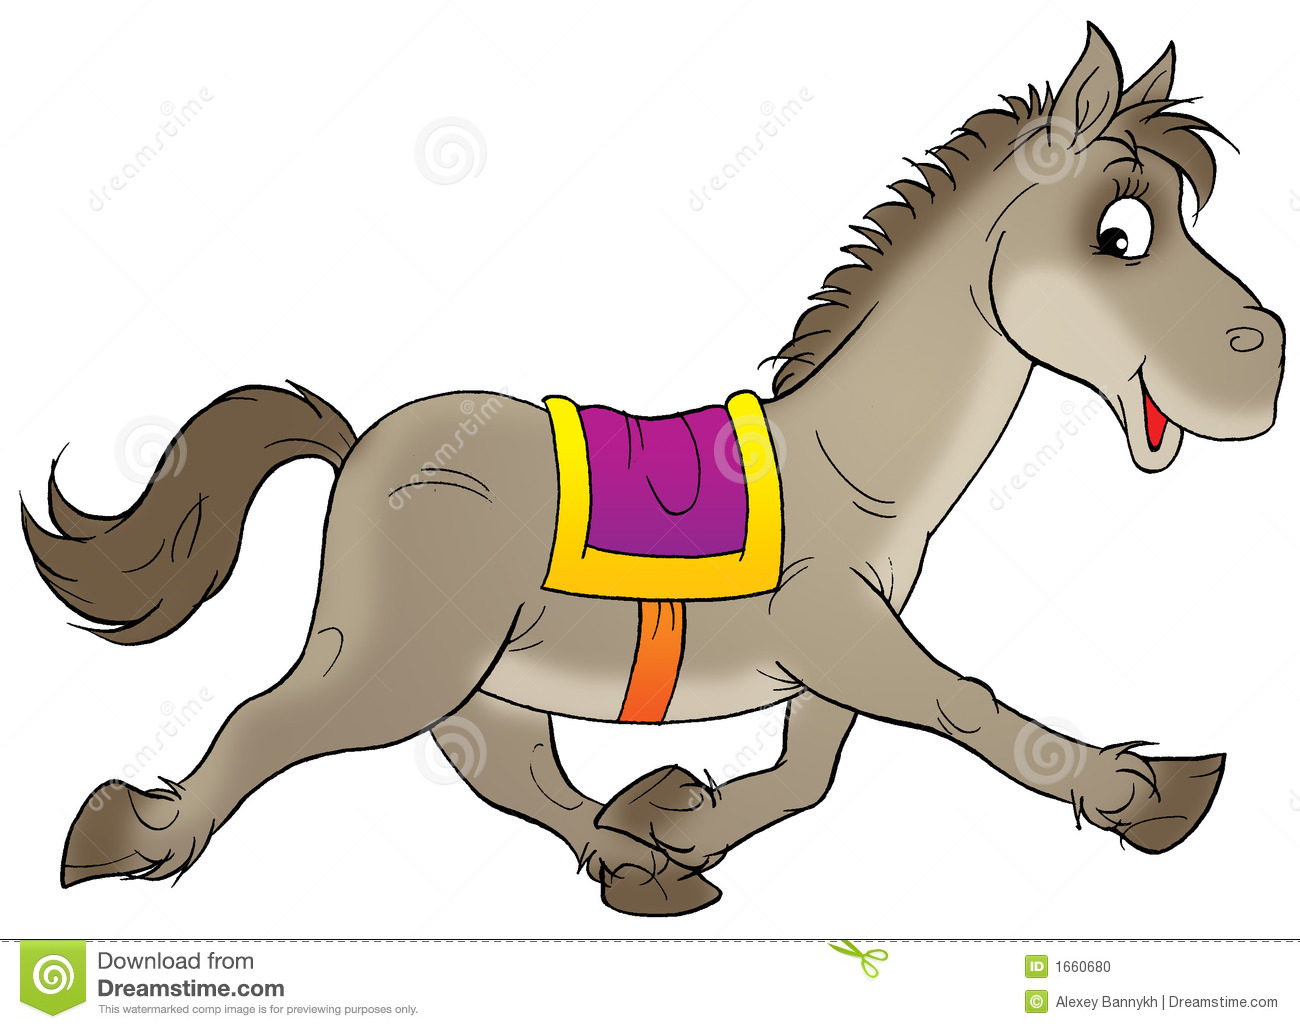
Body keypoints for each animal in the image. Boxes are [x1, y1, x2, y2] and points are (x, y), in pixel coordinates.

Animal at [23, 24, 1284, 916]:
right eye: (1117, 235)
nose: (1264, 358)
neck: (860, 470)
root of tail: (359, 444)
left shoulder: (833, 655)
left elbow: (809, 774)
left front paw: (681, 824)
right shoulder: (841, 632)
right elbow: (963, 706)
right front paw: (1144, 794)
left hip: (487, 674)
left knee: (507, 771)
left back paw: (635, 858)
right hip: (401, 660)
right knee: (267, 722)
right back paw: (124, 838)